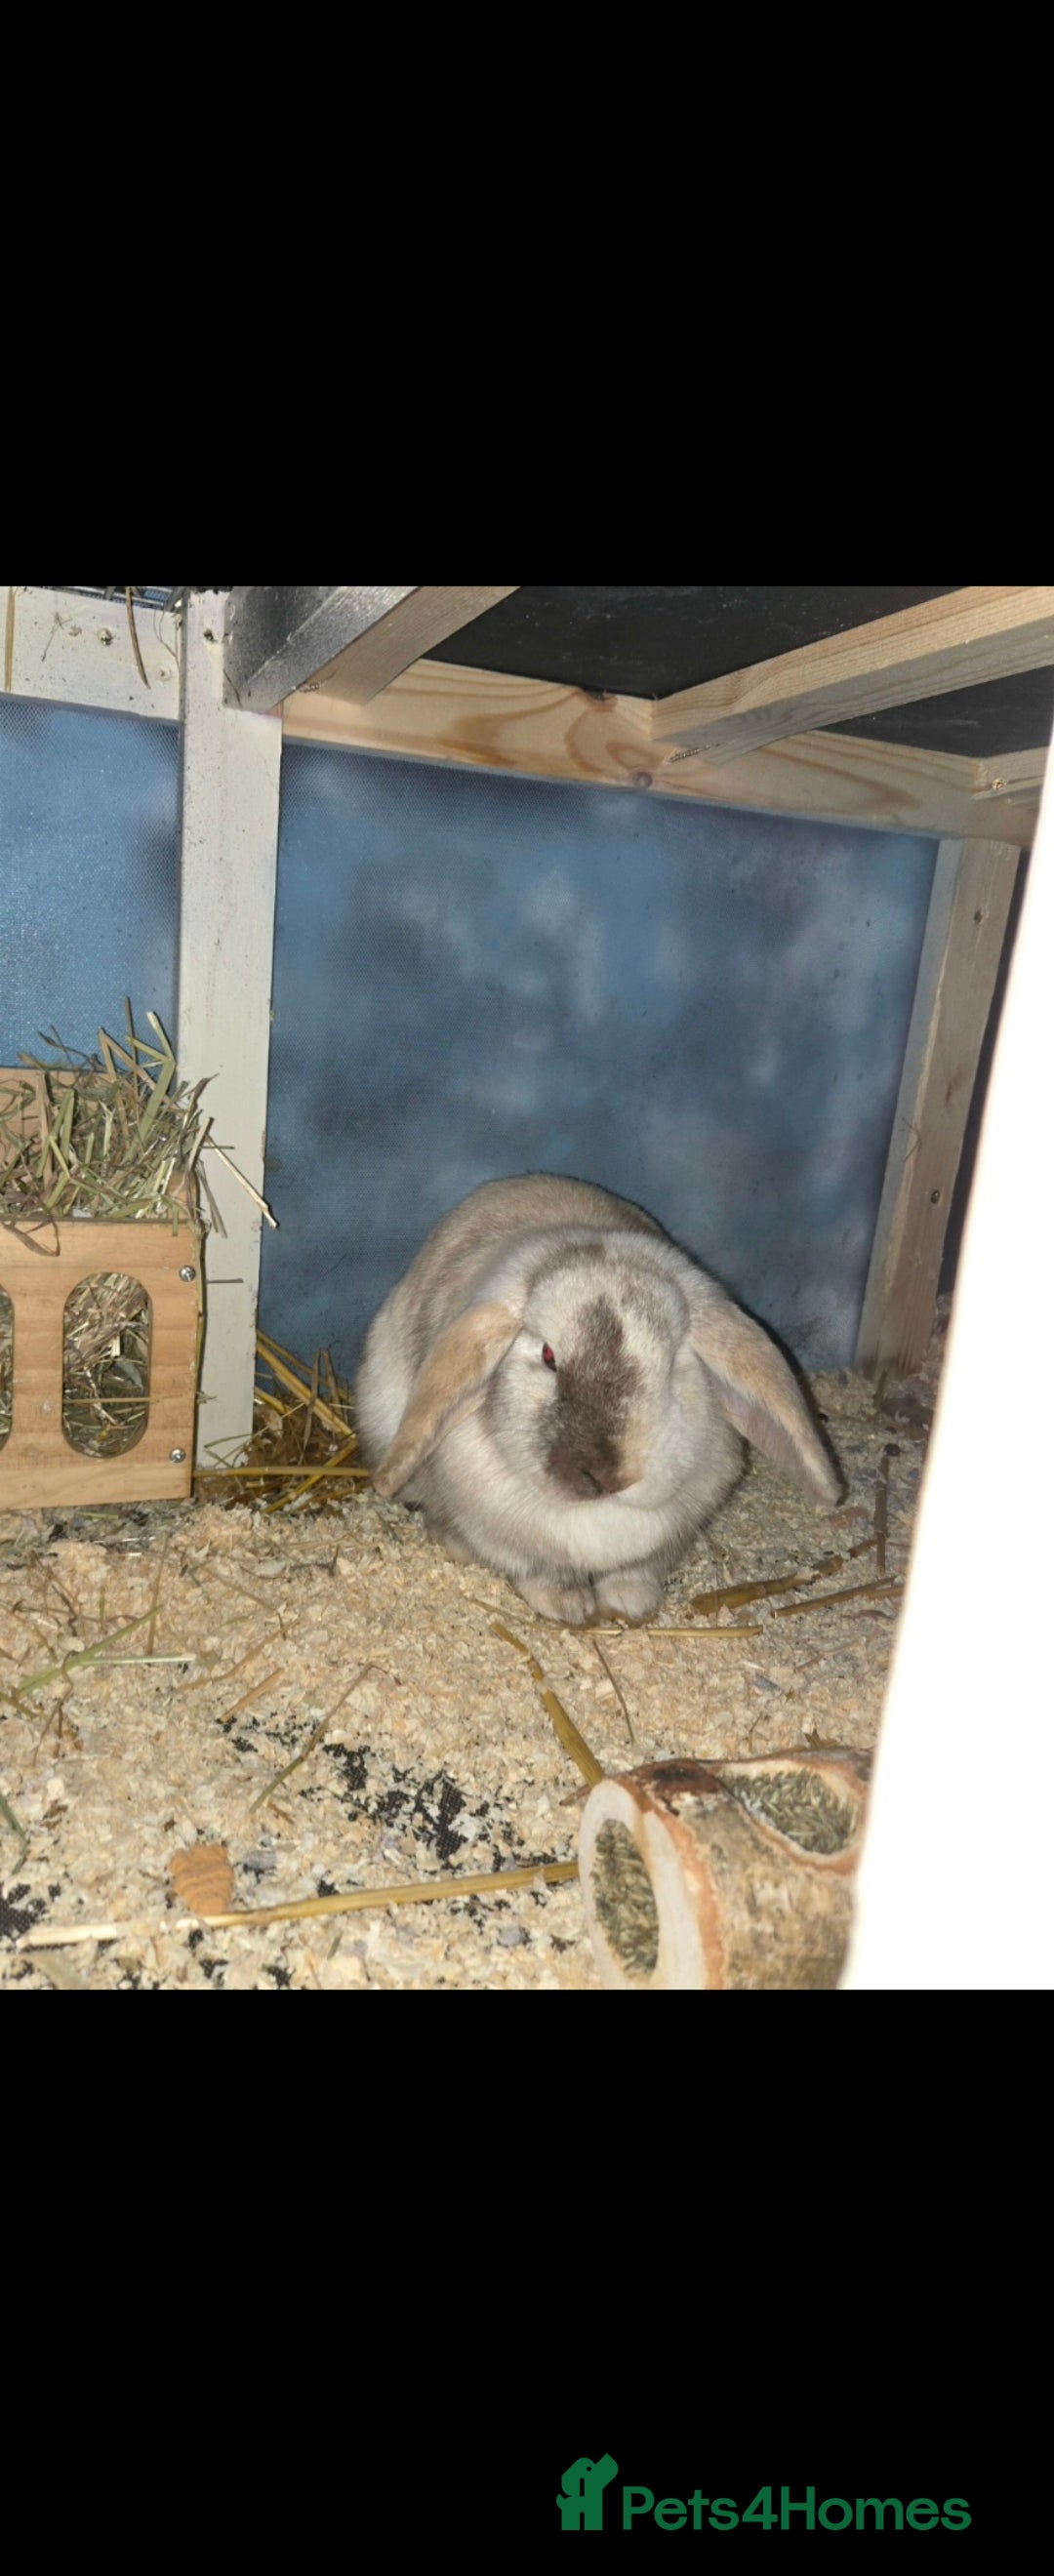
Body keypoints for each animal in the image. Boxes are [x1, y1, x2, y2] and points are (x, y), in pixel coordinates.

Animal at [354, 1174, 841, 1625]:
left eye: (671, 1364)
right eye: (549, 1356)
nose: (607, 1475)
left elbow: (635, 1571)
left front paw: (630, 1603)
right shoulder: (511, 1542)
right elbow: (540, 1573)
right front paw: (568, 1607)